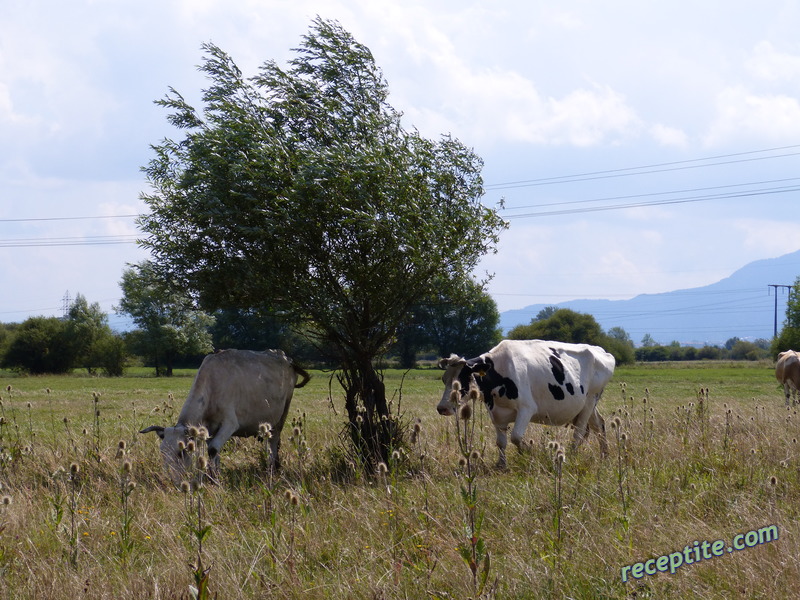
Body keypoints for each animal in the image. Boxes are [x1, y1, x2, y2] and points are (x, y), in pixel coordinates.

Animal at [141, 346, 310, 482]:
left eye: (181, 452)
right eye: (162, 452)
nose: (172, 480)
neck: (212, 384)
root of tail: (285, 358)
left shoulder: (230, 423)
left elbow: (212, 449)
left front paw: (215, 478)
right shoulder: (208, 428)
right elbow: (213, 451)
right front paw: (212, 475)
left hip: (283, 410)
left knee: (274, 440)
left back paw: (273, 468)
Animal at [438, 340, 612, 466]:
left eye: (462, 380)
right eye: (444, 379)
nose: (442, 408)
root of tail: (602, 351)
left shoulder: (526, 408)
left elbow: (515, 437)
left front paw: (528, 452)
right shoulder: (496, 413)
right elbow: (501, 442)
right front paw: (501, 464)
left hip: (590, 400)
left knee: (579, 432)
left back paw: (572, 455)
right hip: (588, 405)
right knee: (599, 425)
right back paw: (604, 456)